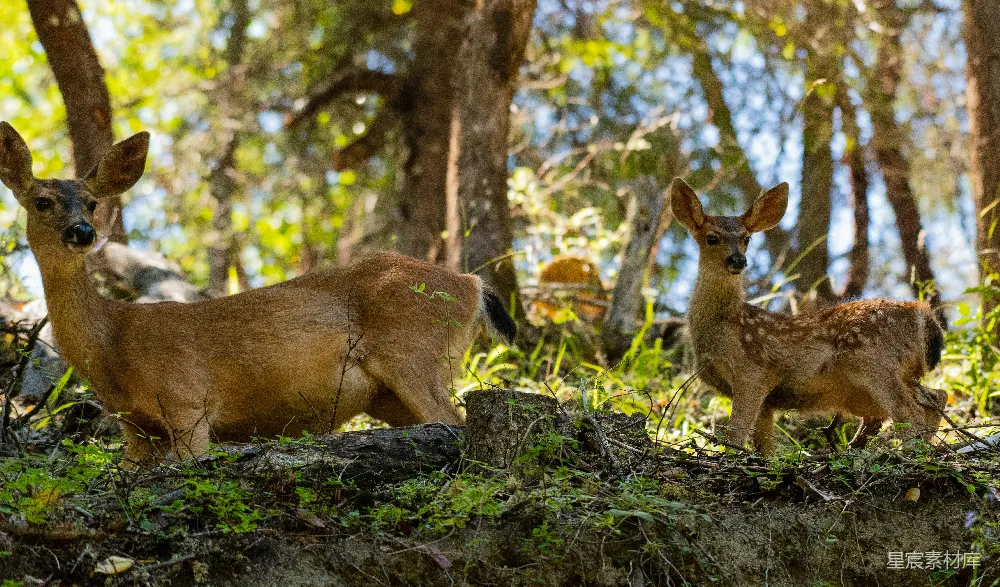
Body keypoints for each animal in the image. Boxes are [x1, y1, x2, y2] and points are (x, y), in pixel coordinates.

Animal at [0, 122, 516, 465]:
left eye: (91, 202)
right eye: (42, 201)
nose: (83, 232)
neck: (112, 346)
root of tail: (472, 285)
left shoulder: (187, 400)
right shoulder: (135, 428)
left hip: (415, 351)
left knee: (455, 421)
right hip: (388, 394)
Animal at [670, 177, 944, 455]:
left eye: (747, 238)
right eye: (711, 238)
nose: (738, 260)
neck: (725, 324)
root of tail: (923, 314)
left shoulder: (753, 372)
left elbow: (734, 435)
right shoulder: (767, 401)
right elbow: (765, 447)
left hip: (874, 363)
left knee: (911, 413)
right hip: (895, 377)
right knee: (936, 397)